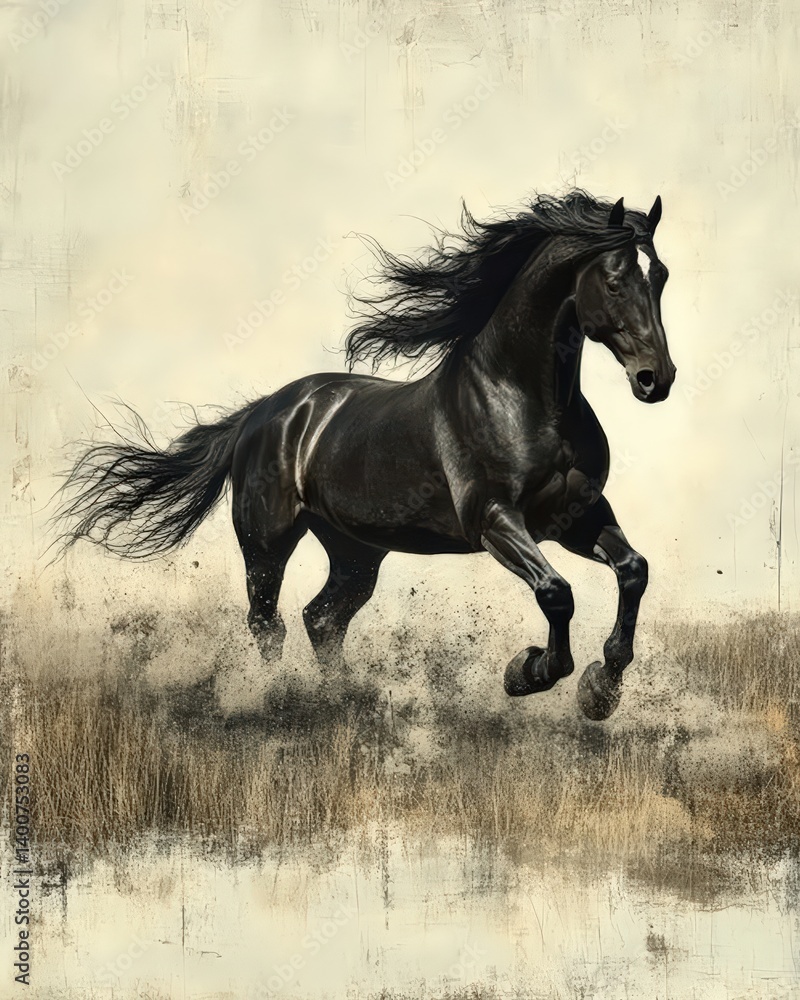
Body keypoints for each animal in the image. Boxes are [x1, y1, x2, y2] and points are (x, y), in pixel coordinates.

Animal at [58, 190, 675, 720]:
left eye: (661, 277)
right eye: (615, 282)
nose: (656, 379)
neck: (522, 398)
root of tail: (261, 414)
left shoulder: (577, 517)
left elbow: (634, 571)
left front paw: (601, 688)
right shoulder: (496, 521)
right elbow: (556, 593)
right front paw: (529, 671)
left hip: (356, 551)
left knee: (322, 618)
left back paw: (347, 700)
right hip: (266, 542)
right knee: (268, 623)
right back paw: (280, 700)